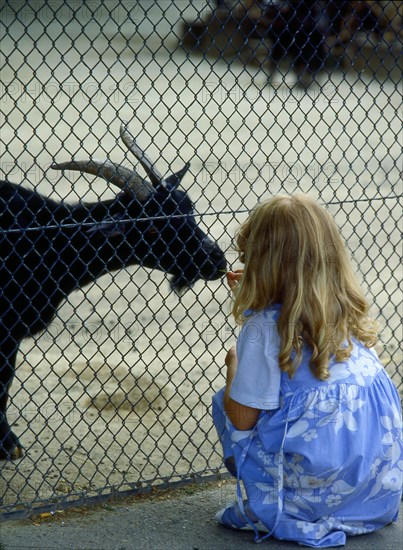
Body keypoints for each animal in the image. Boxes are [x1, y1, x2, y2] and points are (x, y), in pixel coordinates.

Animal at [0, 124, 227, 462]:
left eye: (190, 210)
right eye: (152, 228)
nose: (216, 260)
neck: (42, 239)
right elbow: (1, 383)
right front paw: (7, 444)